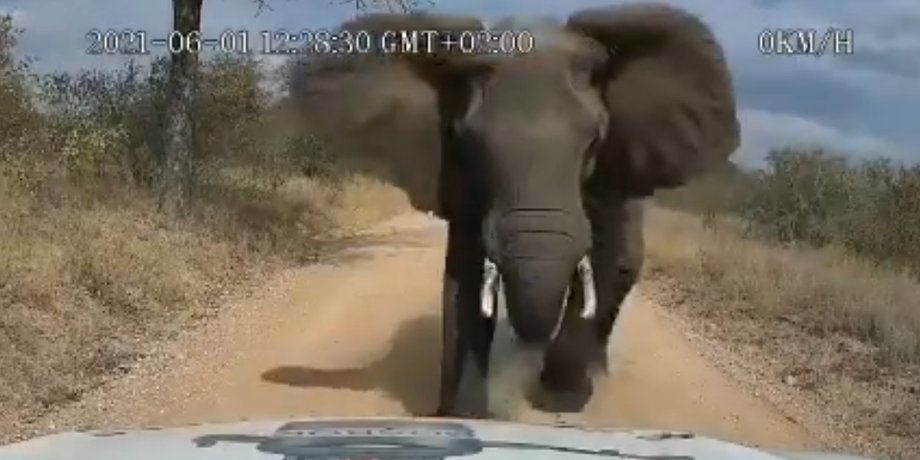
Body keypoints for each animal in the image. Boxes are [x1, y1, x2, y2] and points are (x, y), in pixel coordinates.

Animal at [290, 3, 739, 417]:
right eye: (469, 142)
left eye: (594, 142)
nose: (529, 349)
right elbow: (466, 274)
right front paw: (464, 416)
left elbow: (608, 258)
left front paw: (561, 401)